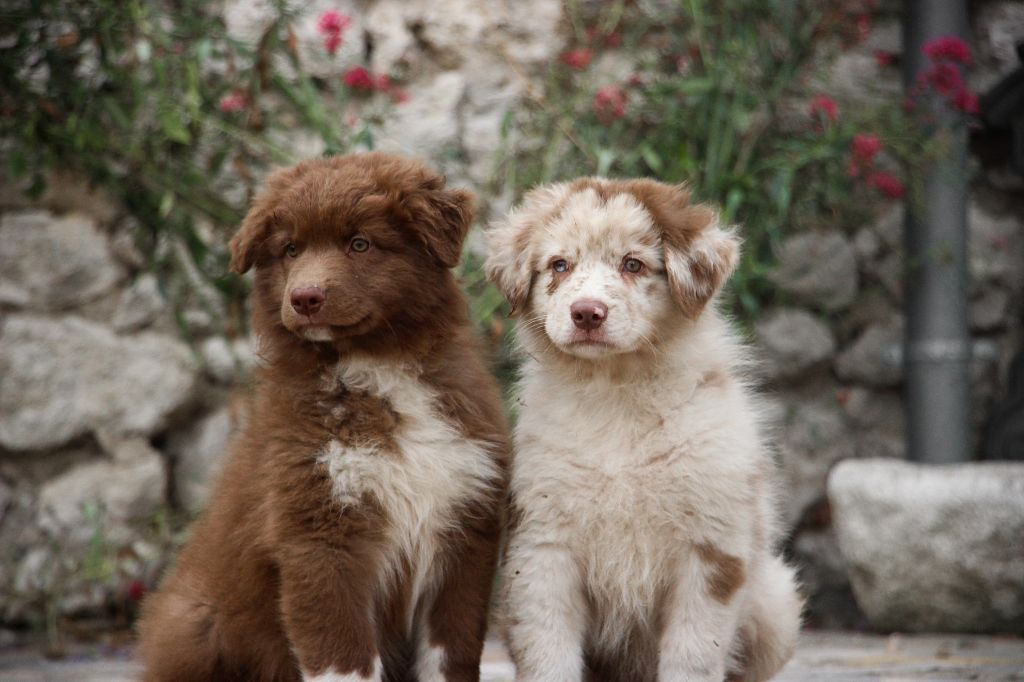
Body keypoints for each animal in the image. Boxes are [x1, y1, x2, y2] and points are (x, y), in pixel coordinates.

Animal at [136, 152, 512, 679]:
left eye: (360, 243)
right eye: (291, 249)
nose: (305, 298)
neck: (377, 369)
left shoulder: (464, 533)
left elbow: (450, 654)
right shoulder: (319, 537)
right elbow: (344, 657)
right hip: (197, 623)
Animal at [483, 179, 802, 679]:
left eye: (632, 264)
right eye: (559, 265)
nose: (587, 313)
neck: (617, 394)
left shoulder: (711, 550)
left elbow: (693, 655)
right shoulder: (542, 545)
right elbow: (549, 651)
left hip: (777, 604)